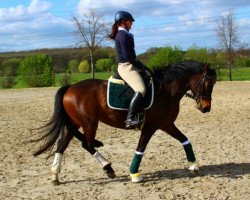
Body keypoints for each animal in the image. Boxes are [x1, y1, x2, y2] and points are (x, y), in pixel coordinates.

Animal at [32, 60, 217, 184]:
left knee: (61, 145)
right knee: (87, 144)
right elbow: (140, 149)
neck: (166, 91)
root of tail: (70, 87)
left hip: (75, 123)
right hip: (89, 123)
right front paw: (134, 174)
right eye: (208, 84)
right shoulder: (150, 127)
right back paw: (108, 168)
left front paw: (194, 165)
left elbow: (185, 140)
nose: (205, 107)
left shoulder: (166, 124)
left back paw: (55, 176)